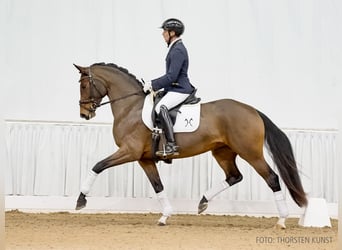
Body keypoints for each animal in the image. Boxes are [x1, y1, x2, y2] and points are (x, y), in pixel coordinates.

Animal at [73, 63, 306, 229]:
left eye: (83, 86)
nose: (84, 114)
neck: (131, 107)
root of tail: (253, 111)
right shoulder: (144, 158)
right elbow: (158, 186)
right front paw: (165, 216)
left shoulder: (129, 151)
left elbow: (98, 166)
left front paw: (81, 200)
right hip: (222, 152)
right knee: (234, 176)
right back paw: (203, 201)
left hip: (251, 153)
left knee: (271, 178)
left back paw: (282, 220)